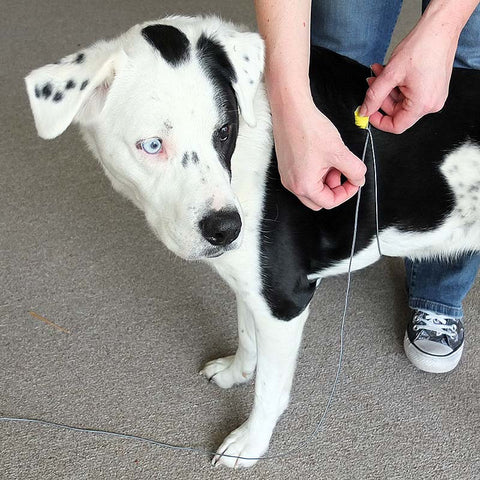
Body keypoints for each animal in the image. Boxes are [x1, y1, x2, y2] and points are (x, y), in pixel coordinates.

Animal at [25, 15, 480, 468]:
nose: (227, 229)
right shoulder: (251, 284)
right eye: (152, 145)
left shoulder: (285, 301)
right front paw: (235, 373)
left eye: (224, 131)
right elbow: (247, 336)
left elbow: (269, 390)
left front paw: (250, 443)